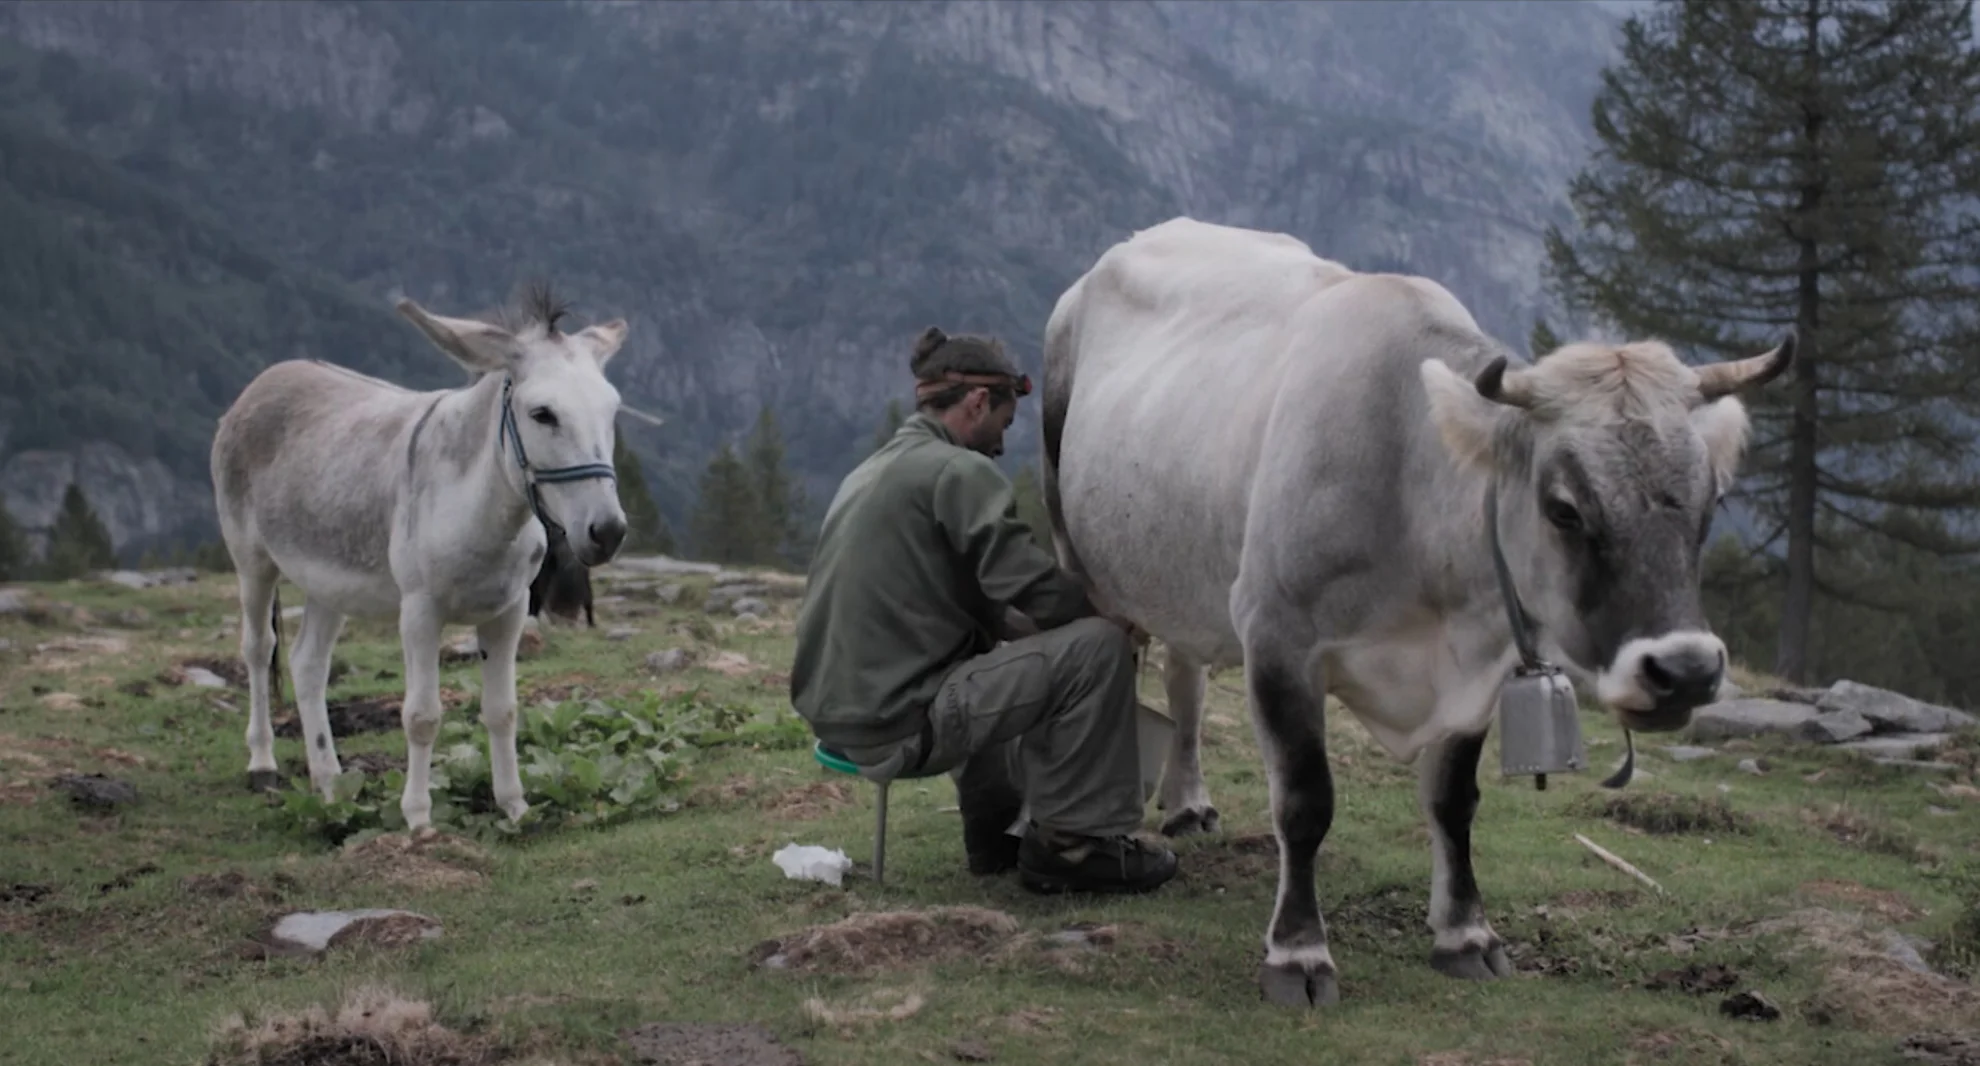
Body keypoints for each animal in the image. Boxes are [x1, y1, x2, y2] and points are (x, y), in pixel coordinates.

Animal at [1039, 217, 1791, 1007]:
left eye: (1711, 503)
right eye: (1564, 508)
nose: (1685, 671)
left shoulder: (1479, 666)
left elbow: (1454, 801)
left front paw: (1466, 934)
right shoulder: (1279, 636)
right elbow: (1304, 802)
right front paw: (1298, 953)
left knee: (1184, 676)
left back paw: (1187, 803)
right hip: (1078, 554)